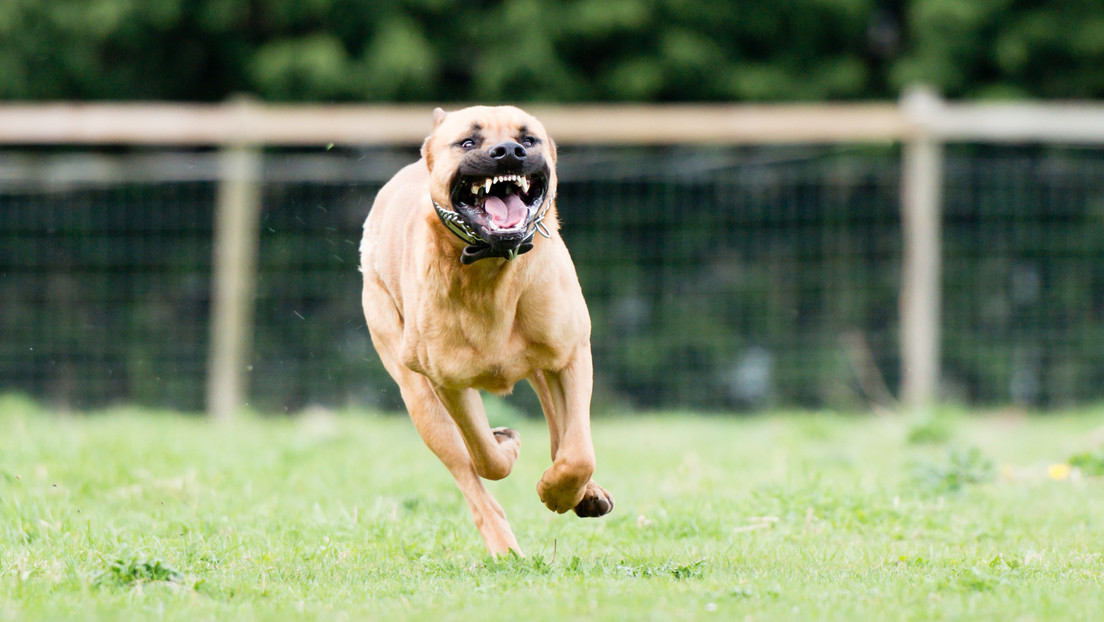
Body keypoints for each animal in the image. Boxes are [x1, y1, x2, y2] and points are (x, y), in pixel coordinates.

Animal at [359, 106, 613, 554]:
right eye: (468, 142)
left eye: (528, 139)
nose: (508, 151)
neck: (492, 266)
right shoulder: (447, 383)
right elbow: (485, 459)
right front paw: (506, 445)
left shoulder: (570, 354)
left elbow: (578, 452)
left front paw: (558, 491)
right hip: (418, 396)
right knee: (469, 475)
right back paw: (505, 547)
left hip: (543, 368)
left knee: (561, 433)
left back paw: (585, 494)